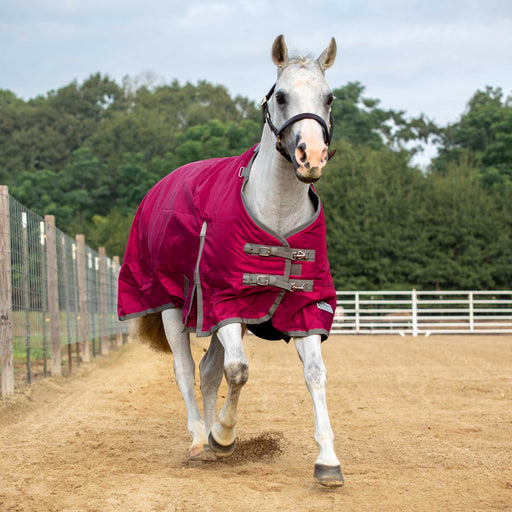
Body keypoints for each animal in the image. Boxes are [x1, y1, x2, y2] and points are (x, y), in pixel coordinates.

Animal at [118, 34, 344, 486]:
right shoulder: (223, 301)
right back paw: (199, 440)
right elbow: (238, 371)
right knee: (186, 370)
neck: (277, 214)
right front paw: (223, 434)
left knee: (207, 370)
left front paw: (328, 460)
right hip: (173, 307)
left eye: (328, 98)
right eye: (281, 96)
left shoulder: (304, 307)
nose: (311, 157)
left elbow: (315, 374)